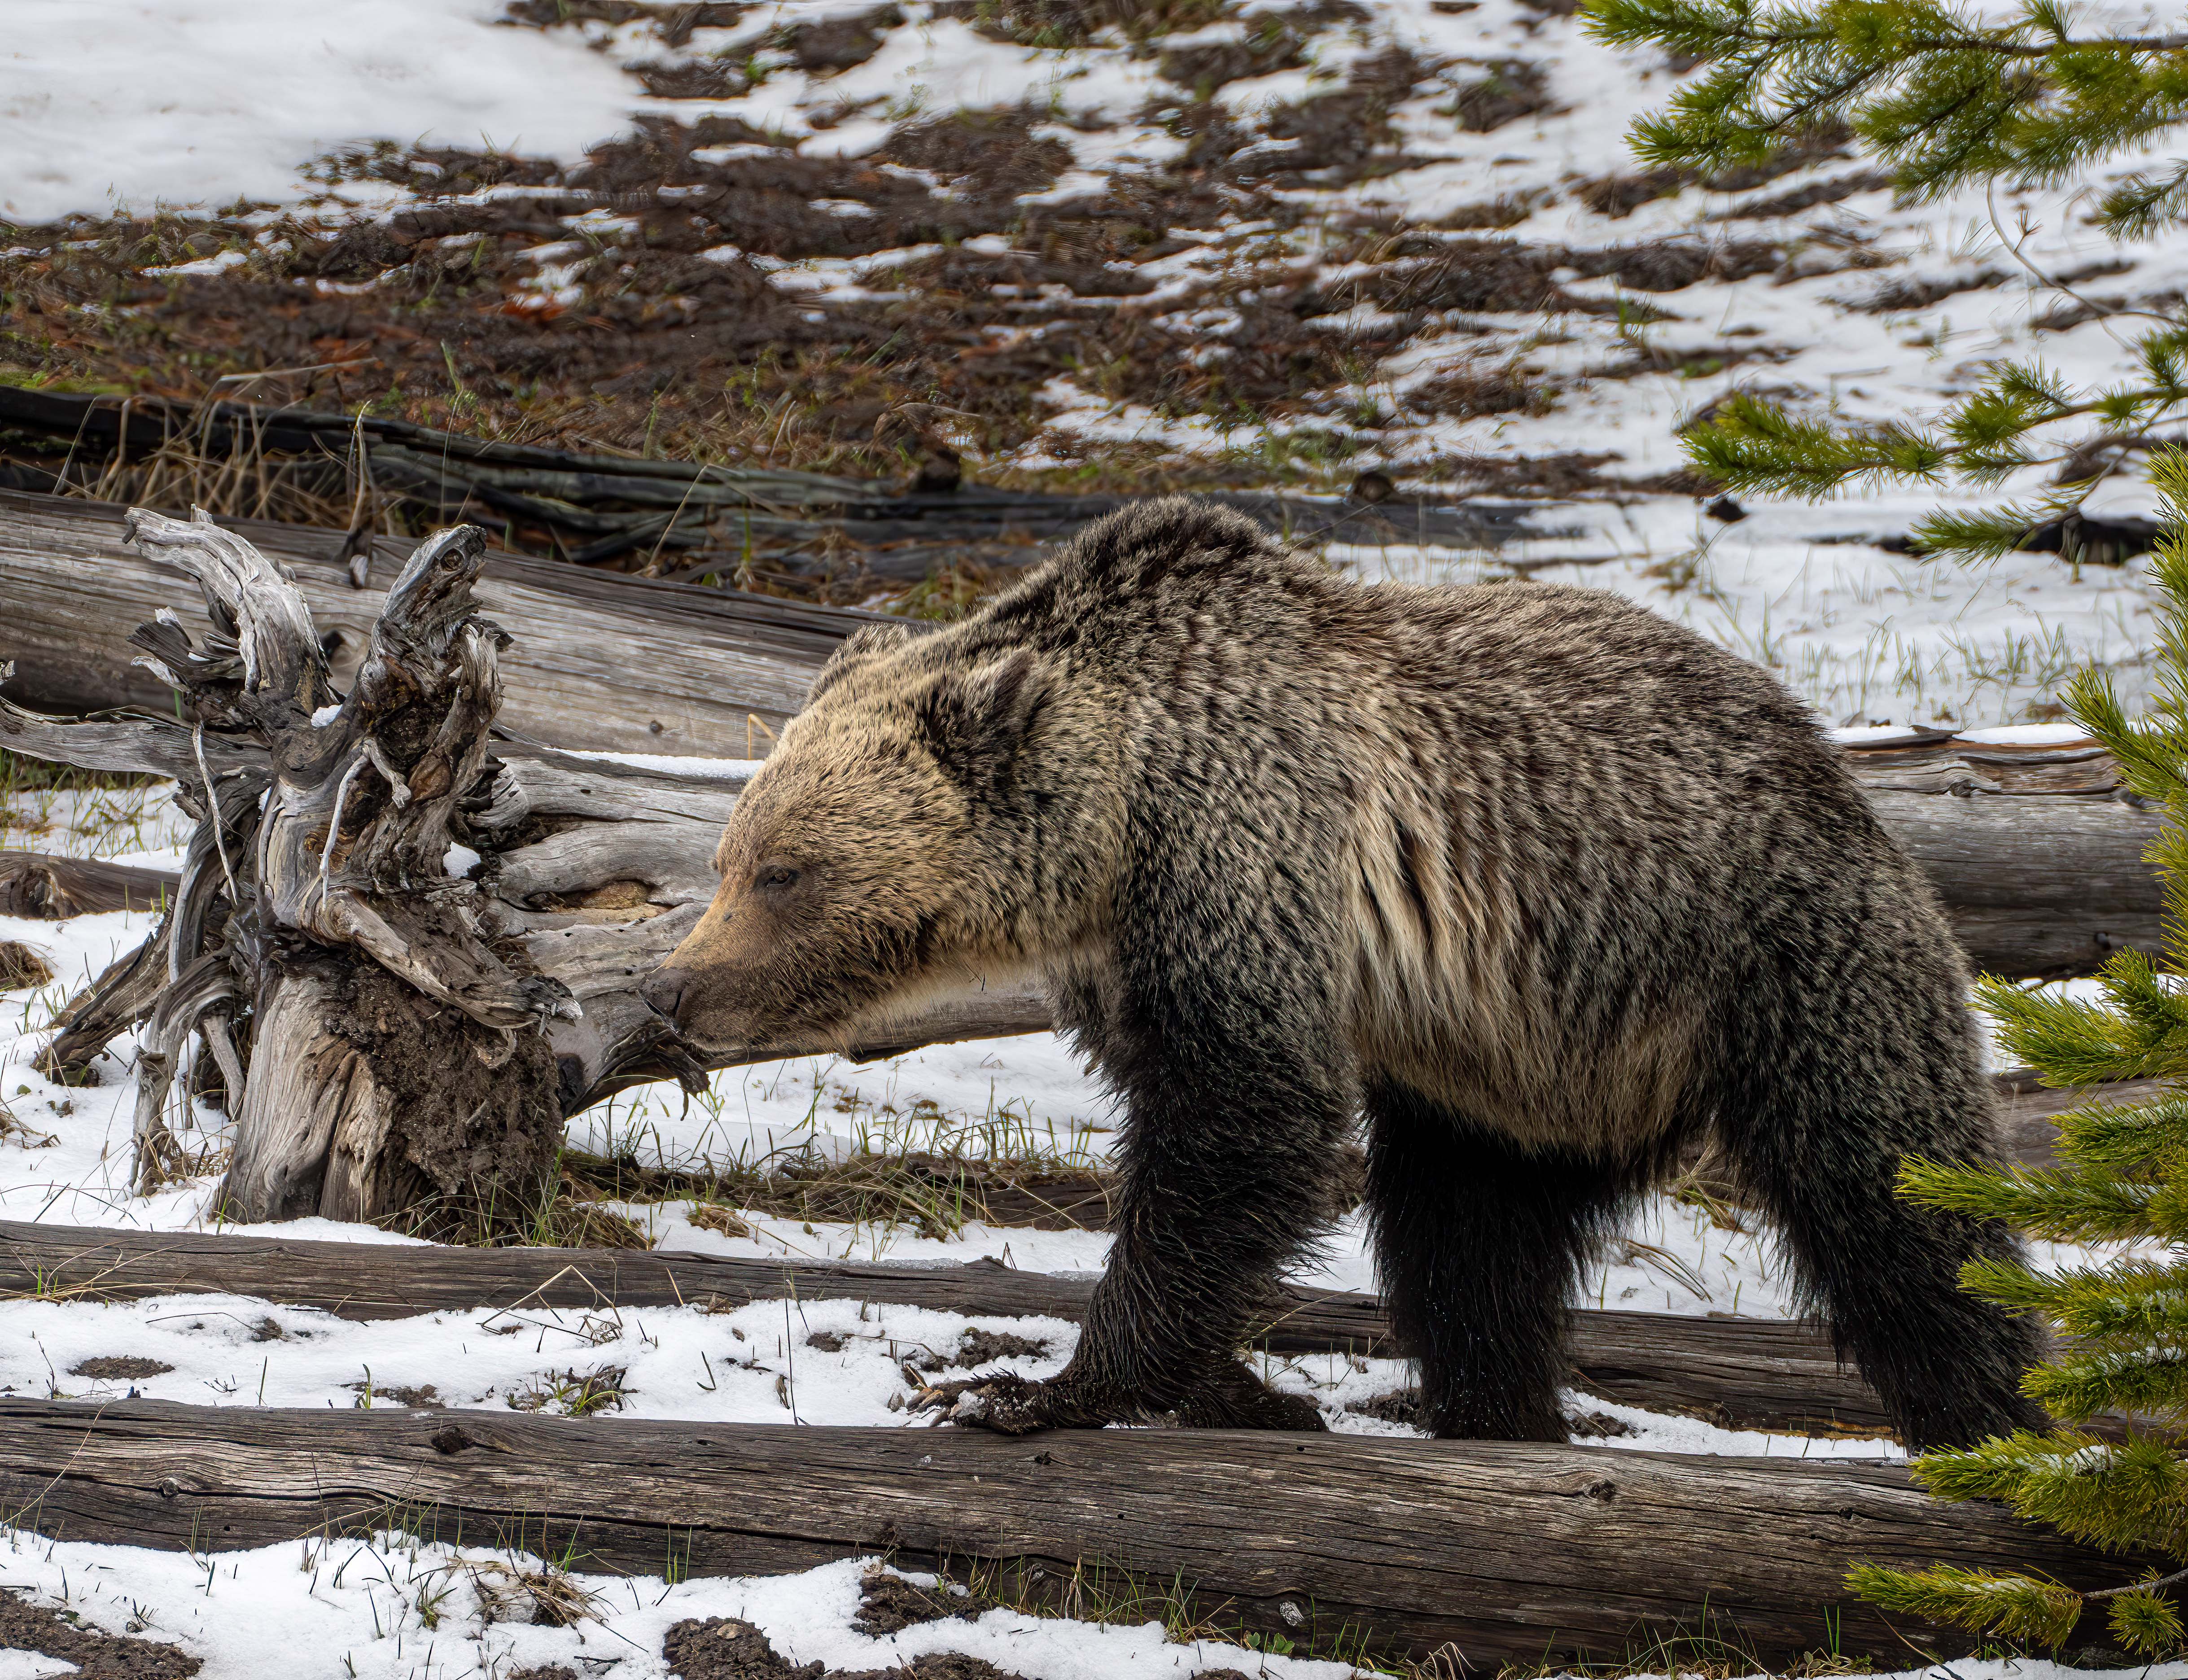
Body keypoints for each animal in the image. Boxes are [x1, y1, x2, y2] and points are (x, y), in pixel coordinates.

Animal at [643, 494, 2048, 1444]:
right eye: (730, 856)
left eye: (781, 871)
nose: (674, 988)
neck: (1115, 825)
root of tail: (1841, 772)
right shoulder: (1128, 951)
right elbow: (1215, 1149)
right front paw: (1237, 1387)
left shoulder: (1240, 855)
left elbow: (1239, 1116)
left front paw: (1039, 1389)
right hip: (1512, 1072)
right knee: (1464, 1245)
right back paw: (1495, 1408)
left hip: (1783, 960)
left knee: (1899, 1209)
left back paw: (1994, 1427)